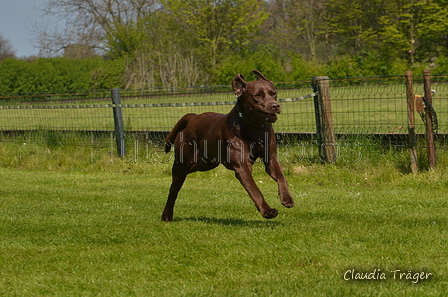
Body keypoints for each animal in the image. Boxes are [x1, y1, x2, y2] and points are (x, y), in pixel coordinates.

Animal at [161, 69, 294, 220]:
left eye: (274, 93)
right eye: (257, 95)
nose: (275, 105)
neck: (253, 128)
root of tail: (193, 117)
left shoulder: (271, 159)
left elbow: (282, 177)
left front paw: (287, 198)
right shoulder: (242, 166)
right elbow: (255, 190)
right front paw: (267, 211)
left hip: (206, 163)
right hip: (182, 164)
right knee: (173, 189)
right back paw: (166, 215)